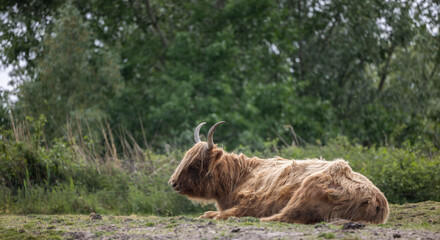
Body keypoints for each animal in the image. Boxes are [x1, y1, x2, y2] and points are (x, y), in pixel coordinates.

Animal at [168, 123, 388, 224]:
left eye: (196, 164)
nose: (173, 183)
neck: (239, 178)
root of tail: (377, 198)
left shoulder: (252, 202)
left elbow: (221, 213)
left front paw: (210, 214)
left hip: (305, 191)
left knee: (282, 216)